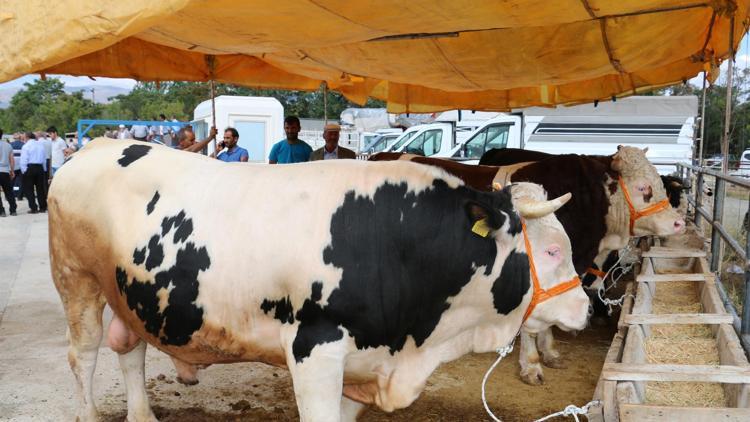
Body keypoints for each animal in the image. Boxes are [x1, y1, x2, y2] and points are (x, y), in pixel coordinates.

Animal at [47, 140, 592, 420]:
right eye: (551, 250)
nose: (587, 307)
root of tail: (98, 145)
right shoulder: (315, 349)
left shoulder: (362, 365)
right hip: (77, 281)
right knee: (83, 356)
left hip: (132, 291)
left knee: (131, 350)